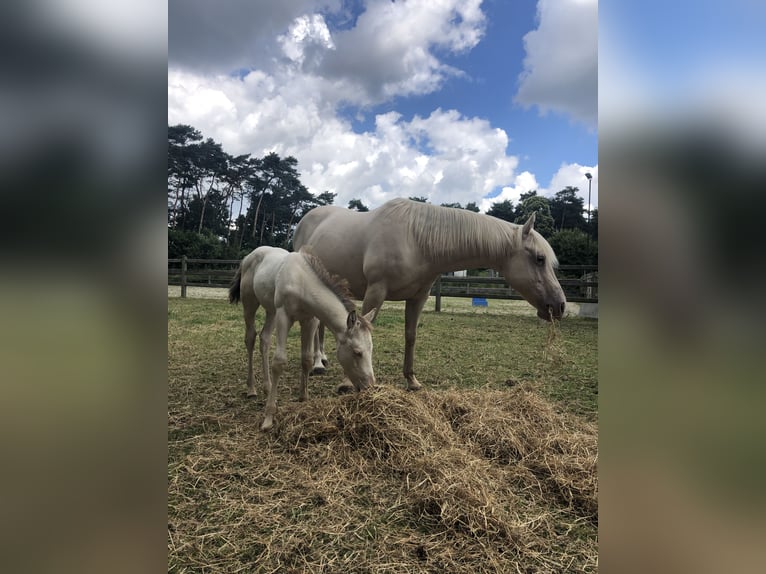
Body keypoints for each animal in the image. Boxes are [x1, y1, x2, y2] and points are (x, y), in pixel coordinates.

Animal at [229, 246, 376, 431]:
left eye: (371, 350)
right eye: (357, 352)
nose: (370, 386)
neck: (302, 282)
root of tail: (248, 257)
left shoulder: (310, 320)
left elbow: (306, 359)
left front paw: (304, 400)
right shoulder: (284, 316)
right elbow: (279, 362)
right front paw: (268, 418)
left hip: (271, 310)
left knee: (265, 339)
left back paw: (267, 387)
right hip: (250, 304)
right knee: (250, 339)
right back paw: (252, 389)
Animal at [292, 198, 566, 391]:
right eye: (540, 259)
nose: (560, 306)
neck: (415, 239)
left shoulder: (418, 297)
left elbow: (411, 336)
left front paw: (411, 380)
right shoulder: (376, 291)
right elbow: (360, 334)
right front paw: (348, 383)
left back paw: (322, 360)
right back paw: (317, 363)